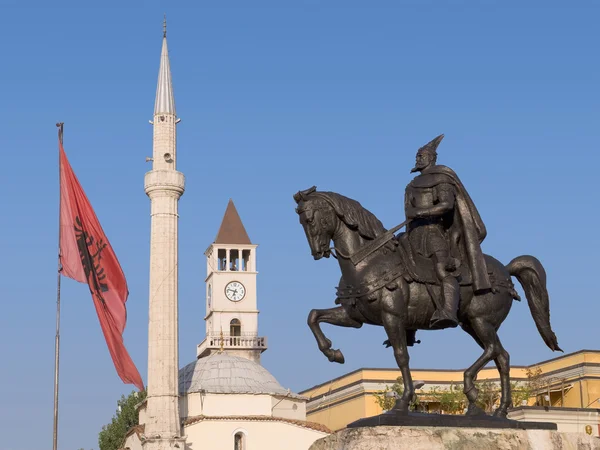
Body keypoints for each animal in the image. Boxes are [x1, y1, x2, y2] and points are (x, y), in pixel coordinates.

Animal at [292, 186, 560, 418]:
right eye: (301, 221)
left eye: (311, 218)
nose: (317, 252)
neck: (366, 261)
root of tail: (505, 269)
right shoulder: (355, 317)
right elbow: (313, 316)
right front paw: (333, 352)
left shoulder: (392, 318)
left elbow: (401, 356)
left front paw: (403, 401)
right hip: (472, 324)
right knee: (501, 355)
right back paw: (500, 409)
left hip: (480, 320)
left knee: (493, 349)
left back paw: (472, 389)